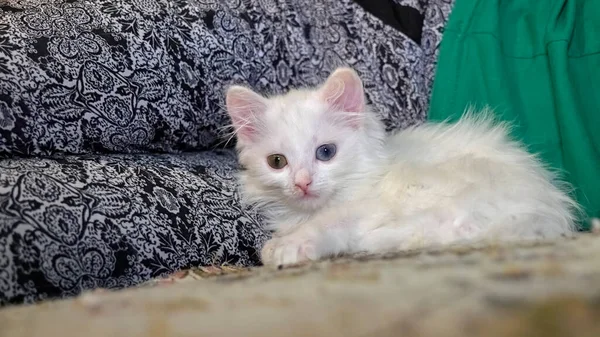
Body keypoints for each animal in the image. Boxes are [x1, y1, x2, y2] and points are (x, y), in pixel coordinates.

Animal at [225, 66, 576, 266]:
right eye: (277, 162)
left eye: (325, 152)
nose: (302, 183)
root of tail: (547, 211)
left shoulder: (367, 206)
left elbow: (329, 223)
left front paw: (287, 247)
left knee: (450, 229)